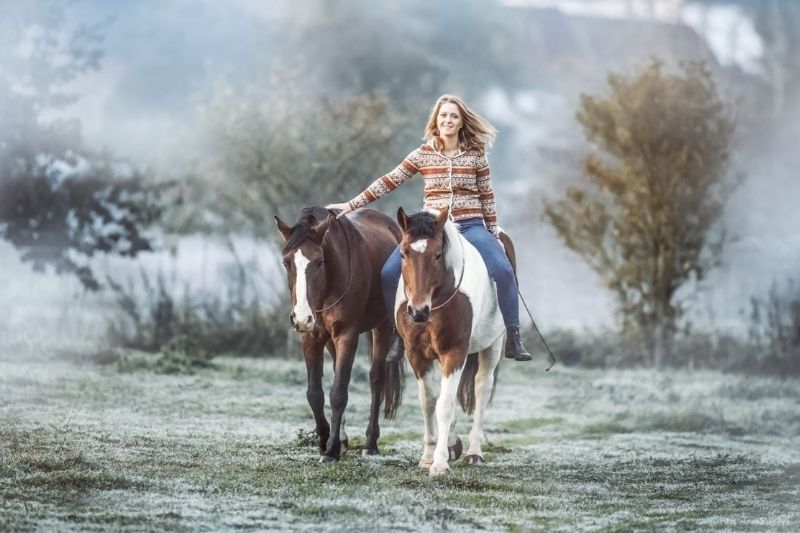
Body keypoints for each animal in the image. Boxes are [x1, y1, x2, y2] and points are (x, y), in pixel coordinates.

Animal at [276, 206, 406, 460]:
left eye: (319, 261)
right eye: (287, 262)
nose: (301, 317)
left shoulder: (347, 335)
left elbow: (338, 393)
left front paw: (331, 450)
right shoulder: (310, 338)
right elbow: (315, 394)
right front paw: (326, 439)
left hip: (383, 326)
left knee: (377, 378)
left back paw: (370, 443)